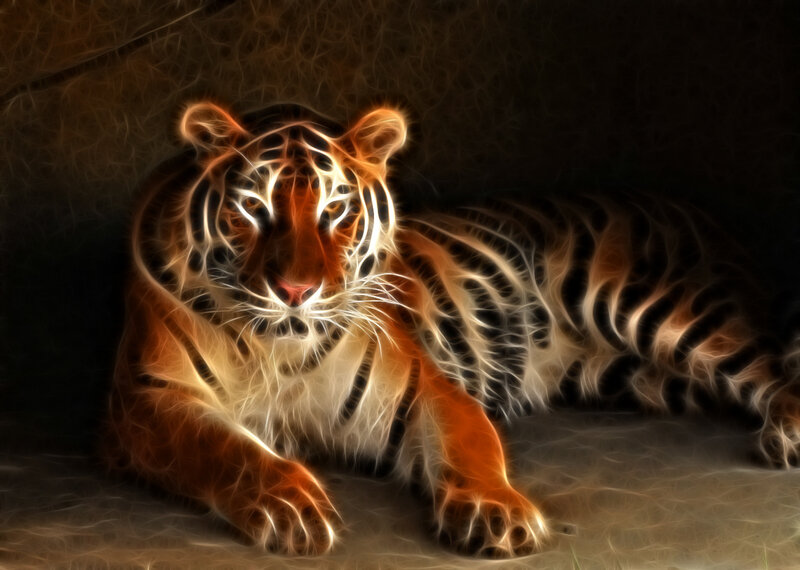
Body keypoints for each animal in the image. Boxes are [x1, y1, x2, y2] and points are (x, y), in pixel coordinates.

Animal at [103, 100, 800, 558]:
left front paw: (497, 510)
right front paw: (288, 503)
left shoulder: (423, 389)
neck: (278, 350)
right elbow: (224, 448)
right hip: (649, 376)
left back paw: (786, 437)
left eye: (336, 209)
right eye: (252, 207)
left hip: (655, 308)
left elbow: (472, 444)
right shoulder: (147, 399)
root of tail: (698, 209)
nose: (296, 291)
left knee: (770, 365)